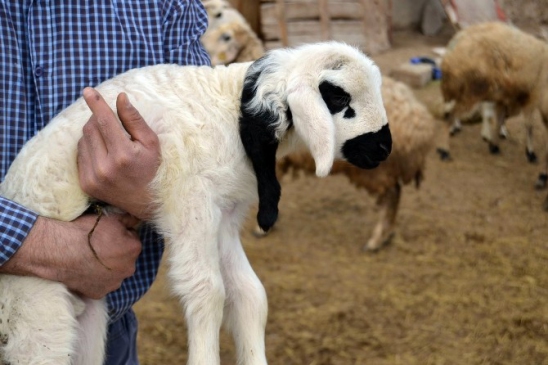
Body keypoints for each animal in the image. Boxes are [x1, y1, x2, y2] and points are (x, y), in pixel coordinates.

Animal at [0, 42, 394, 364]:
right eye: (339, 98)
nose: (384, 148)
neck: (229, 110)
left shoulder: (222, 218)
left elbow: (249, 294)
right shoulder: (189, 203)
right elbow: (207, 292)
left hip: (87, 321)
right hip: (35, 312)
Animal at [438, 21, 548, 205]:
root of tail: (453, 47)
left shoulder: (506, 97)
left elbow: (500, 119)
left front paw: (494, 144)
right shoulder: (533, 96)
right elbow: (529, 125)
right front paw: (531, 153)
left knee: (450, 112)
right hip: (471, 90)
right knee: (450, 115)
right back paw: (445, 149)